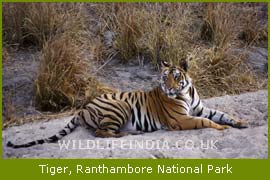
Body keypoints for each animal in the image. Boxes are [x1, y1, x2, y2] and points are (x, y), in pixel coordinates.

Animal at [6, 59, 248, 148]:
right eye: (164, 78)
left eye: (175, 77)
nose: (169, 88)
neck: (186, 92)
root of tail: (83, 107)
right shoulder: (181, 119)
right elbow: (205, 122)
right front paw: (222, 128)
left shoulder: (201, 108)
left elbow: (221, 114)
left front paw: (241, 122)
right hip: (120, 107)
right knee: (101, 133)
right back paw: (127, 134)